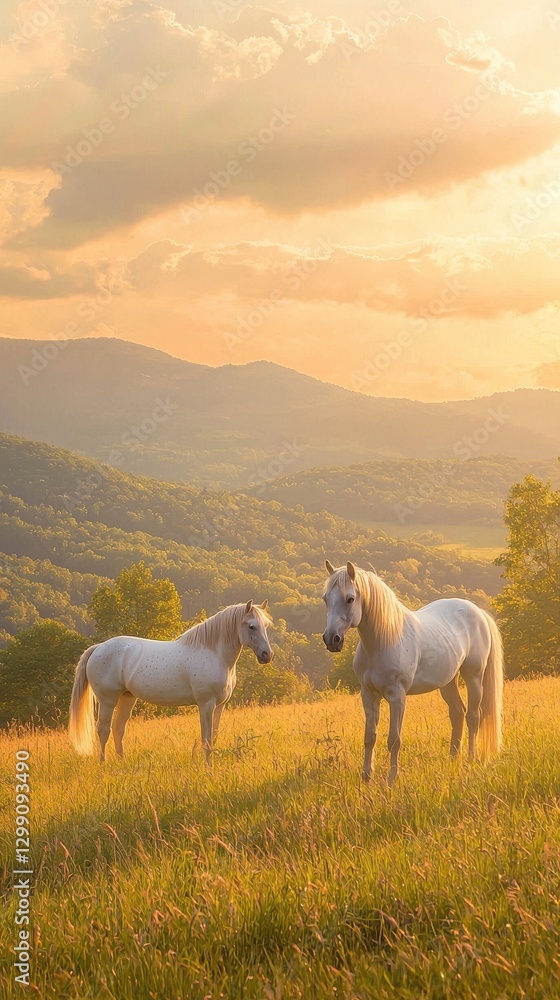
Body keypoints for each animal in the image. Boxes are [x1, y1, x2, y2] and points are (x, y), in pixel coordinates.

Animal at [68, 600, 272, 763]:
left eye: (266, 626)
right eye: (252, 626)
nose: (267, 655)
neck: (214, 652)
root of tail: (98, 648)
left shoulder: (220, 705)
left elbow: (213, 737)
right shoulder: (206, 704)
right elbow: (206, 739)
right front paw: (208, 766)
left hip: (127, 697)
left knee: (118, 729)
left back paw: (121, 762)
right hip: (108, 700)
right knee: (103, 730)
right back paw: (103, 763)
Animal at [322, 561, 504, 786]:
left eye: (350, 599)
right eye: (326, 599)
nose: (332, 639)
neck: (384, 640)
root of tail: (478, 612)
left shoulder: (397, 696)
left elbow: (394, 740)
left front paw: (391, 780)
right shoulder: (368, 694)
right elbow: (369, 736)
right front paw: (366, 777)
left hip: (474, 677)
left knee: (473, 716)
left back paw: (470, 760)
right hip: (448, 681)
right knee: (457, 713)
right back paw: (453, 759)